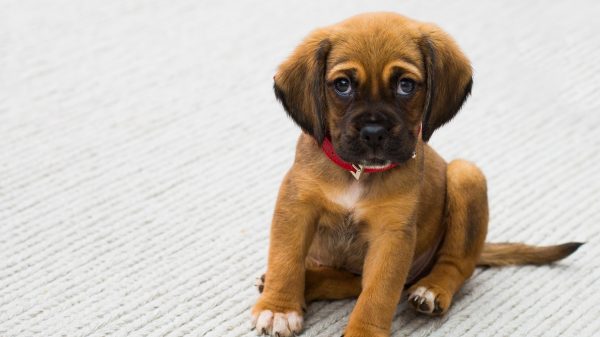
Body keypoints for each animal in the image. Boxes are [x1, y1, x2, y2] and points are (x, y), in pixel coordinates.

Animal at [251, 12, 584, 336]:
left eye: (406, 85)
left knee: (457, 265)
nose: (374, 132)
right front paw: (279, 308)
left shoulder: (392, 236)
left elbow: (378, 295)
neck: (359, 174)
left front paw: (363, 332)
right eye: (342, 85)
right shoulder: (296, 208)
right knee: (348, 281)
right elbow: (286, 260)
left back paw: (432, 290)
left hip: (466, 175)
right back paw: (304, 282)